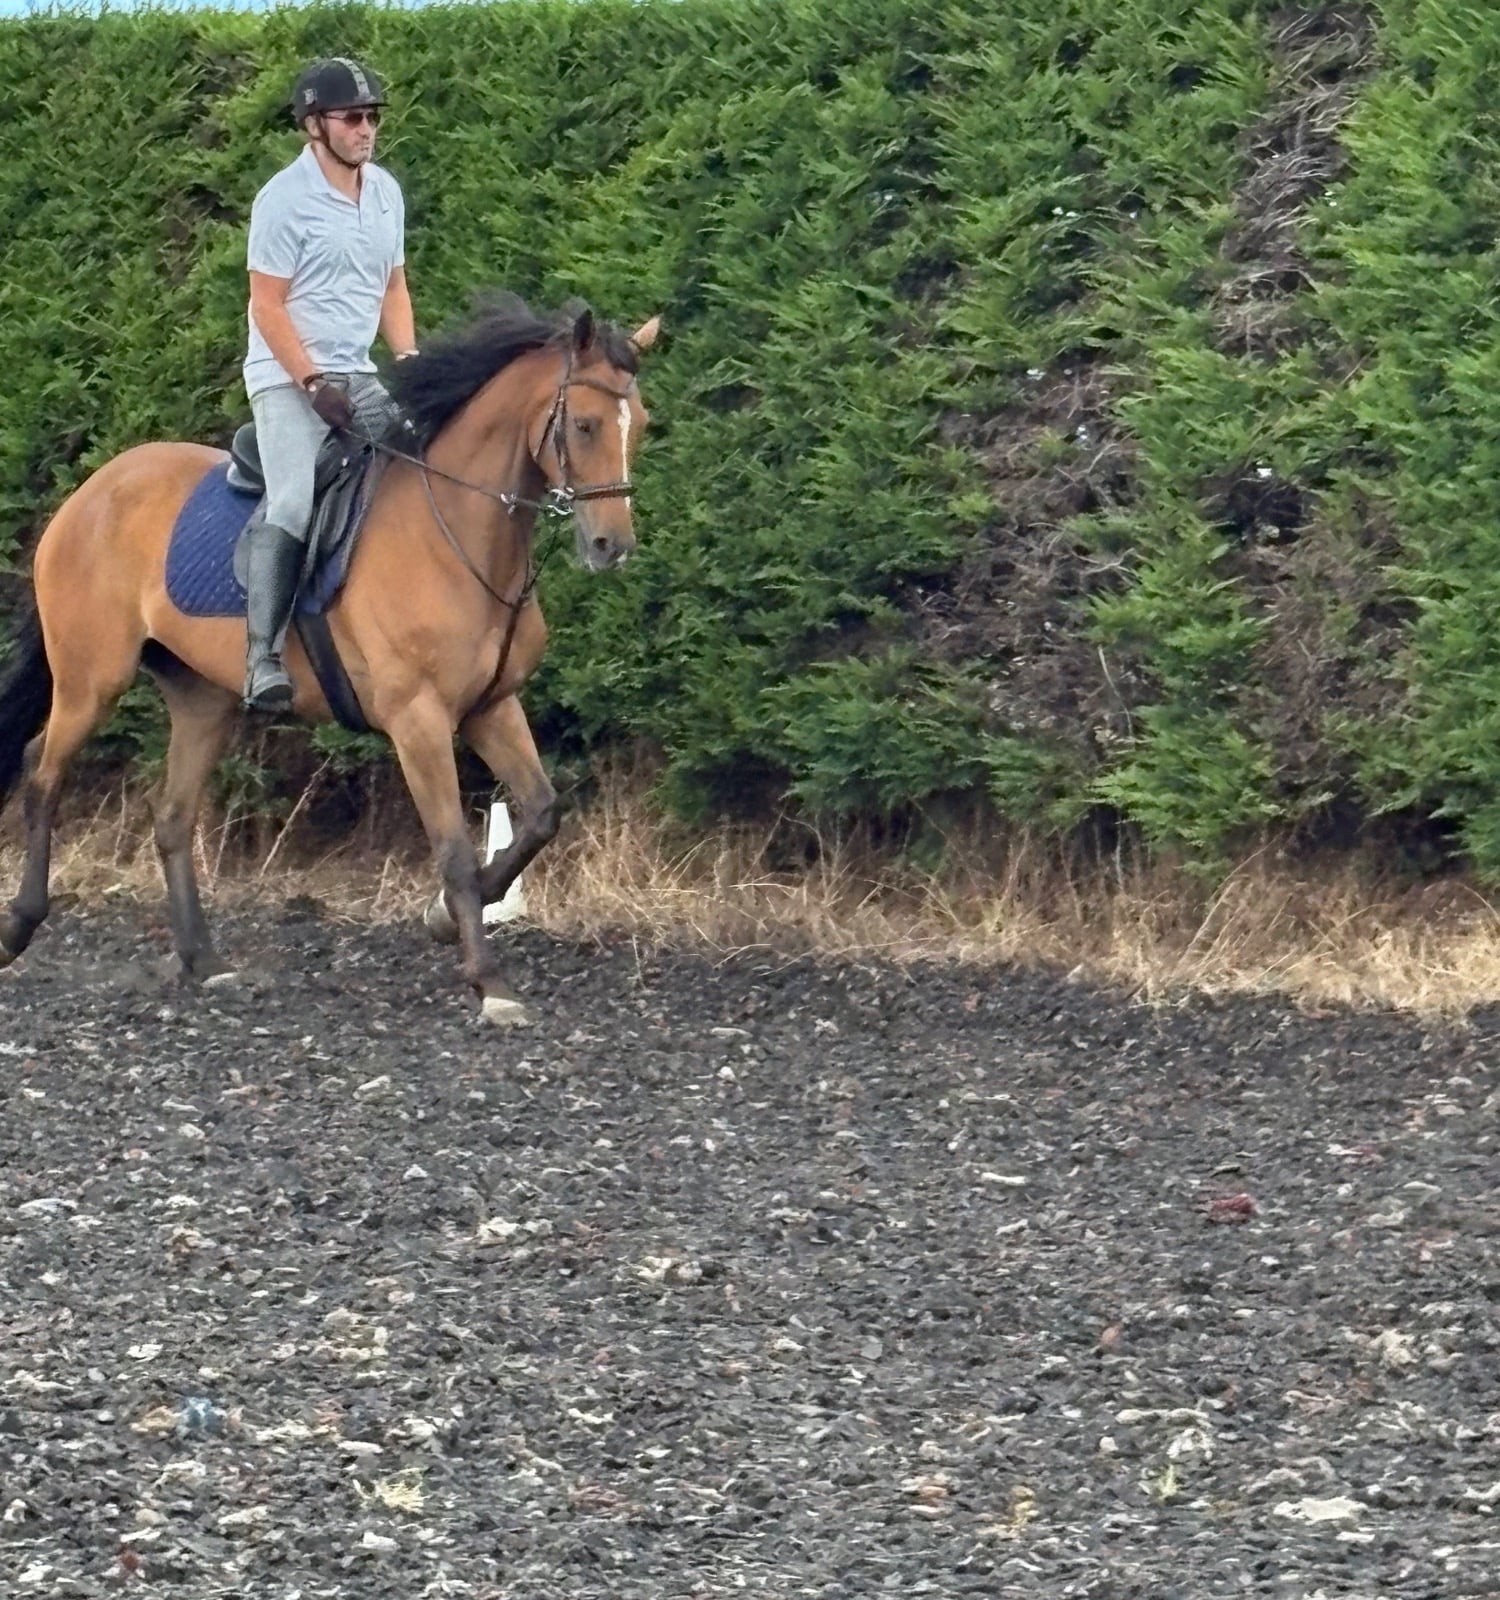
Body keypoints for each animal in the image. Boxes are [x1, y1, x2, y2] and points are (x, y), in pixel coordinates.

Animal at [0, 295, 659, 1026]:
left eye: (640, 427)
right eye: (585, 423)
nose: (611, 546)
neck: (456, 534)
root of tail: (92, 491)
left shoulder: (491, 706)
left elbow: (541, 815)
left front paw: (440, 919)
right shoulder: (419, 721)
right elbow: (455, 851)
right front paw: (490, 982)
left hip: (203, 700)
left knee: (171, 816)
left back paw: (204, 960)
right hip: (93, 680)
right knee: (41, 774)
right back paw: (19, 927)